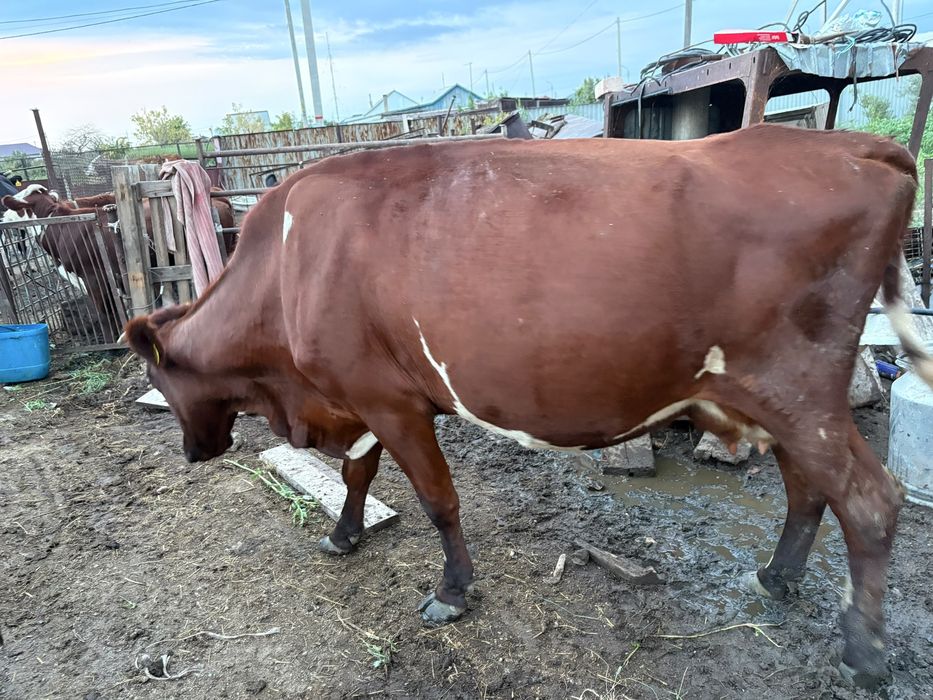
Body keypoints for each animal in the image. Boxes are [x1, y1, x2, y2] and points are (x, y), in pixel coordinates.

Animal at [121, 124, 933, 689]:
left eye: (159, 378)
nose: (192, 450)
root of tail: (861, 147)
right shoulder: (362, 397)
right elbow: (357, 474)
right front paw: (344, 536)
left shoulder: (390, 399)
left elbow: (437, 499)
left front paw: (452, 591)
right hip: (782, 400)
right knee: (808, 489)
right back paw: (776, 577)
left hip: (797, 389)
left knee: (868, 501)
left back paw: (863, 652)